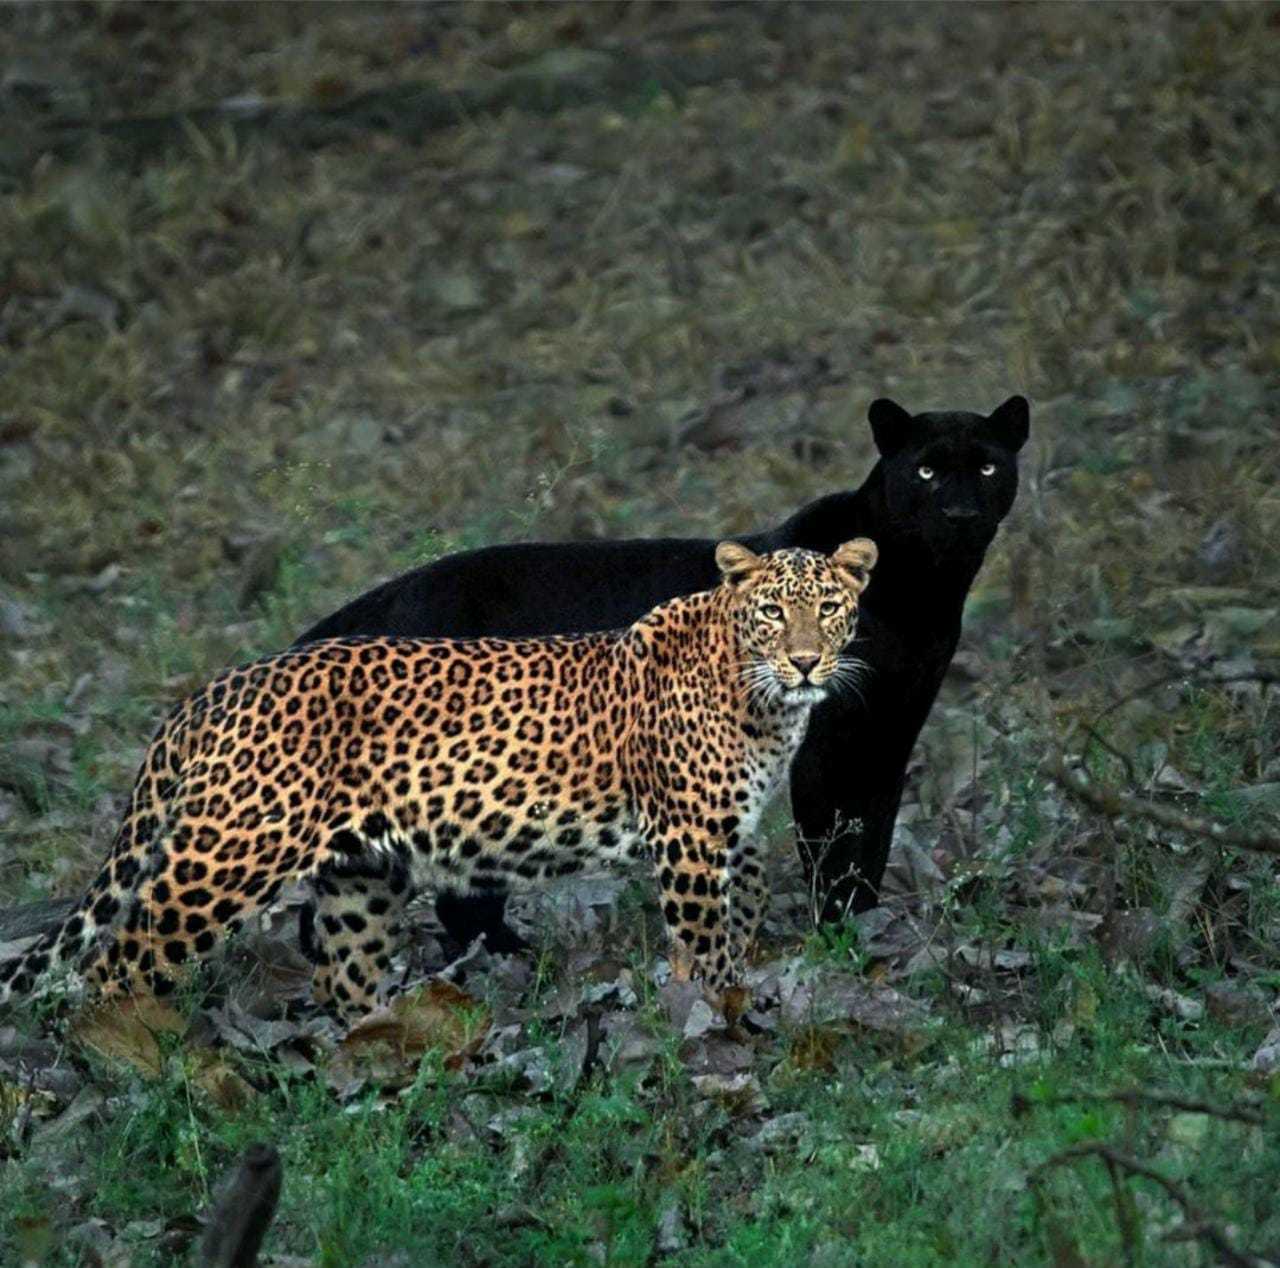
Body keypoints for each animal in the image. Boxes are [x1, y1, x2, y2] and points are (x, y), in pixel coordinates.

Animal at [0, 534, 875, 1023]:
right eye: (772, 612)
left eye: (829, 608)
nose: (805, 661)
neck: (762, 697)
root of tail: (207, 693)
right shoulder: (689, 838)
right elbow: (705, 941)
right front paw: (719, 1016)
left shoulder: (731, 832)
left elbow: (742, 911)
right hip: (225, 859)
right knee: (113, 964)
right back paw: (131, 1057)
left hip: (360, 875)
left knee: (344, 976)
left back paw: (384, 1054)